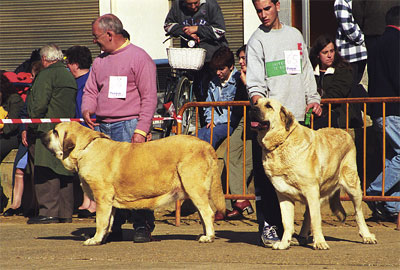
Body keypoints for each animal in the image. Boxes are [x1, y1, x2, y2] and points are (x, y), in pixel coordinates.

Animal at [43, 122, 228, 245]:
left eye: (55, 132)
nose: (40, 135)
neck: (86, 148)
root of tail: (206, 145)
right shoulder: (109, 202)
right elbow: (109, 221)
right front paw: (104, 238)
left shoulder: (102, 197)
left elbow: (101, 221)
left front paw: (95, 239)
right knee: (204, 214)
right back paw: (204, 234)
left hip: (194, 188)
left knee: (208, 213)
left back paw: (208, 237)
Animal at [252, 98, 376, 250]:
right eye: (256, 103)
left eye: (268, 106)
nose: (252, 108)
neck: (282, 142)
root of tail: (344, 132)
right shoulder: (284, 195)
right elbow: (287, 223)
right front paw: (284, 243)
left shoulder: (311, 190)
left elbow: (316, 220)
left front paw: (320, 242)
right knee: (308, 216)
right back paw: (302, 237)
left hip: (352, 186)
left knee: (358, 213)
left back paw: (367, 236)